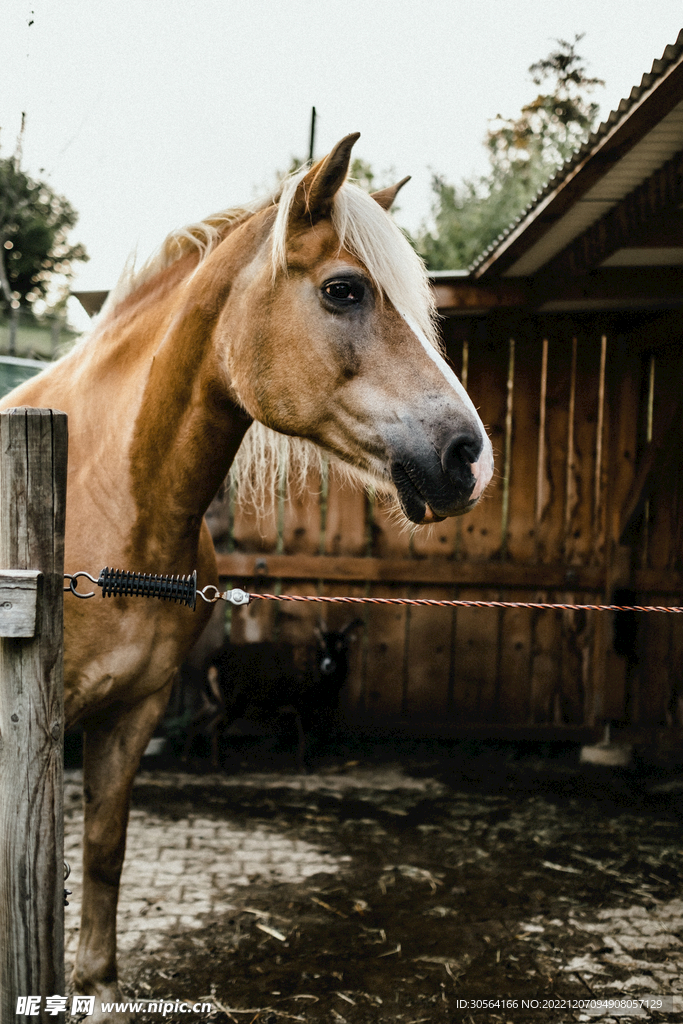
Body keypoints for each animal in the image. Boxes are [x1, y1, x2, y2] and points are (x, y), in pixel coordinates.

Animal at [0, 133, 493, 1020]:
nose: (469, 458)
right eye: (342, 289)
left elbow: (102, 856)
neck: (100, 501)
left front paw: (95, 987)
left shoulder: (130, 715)